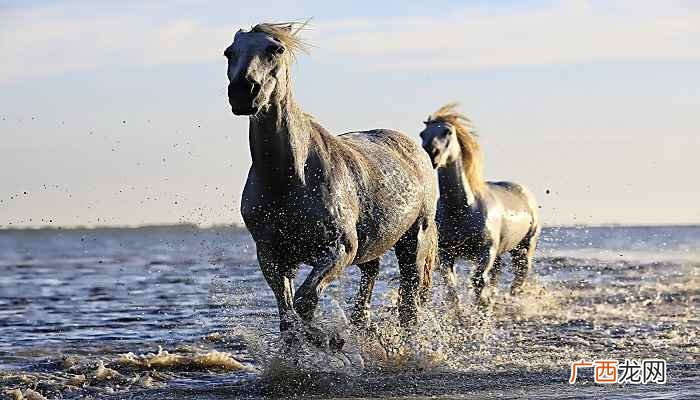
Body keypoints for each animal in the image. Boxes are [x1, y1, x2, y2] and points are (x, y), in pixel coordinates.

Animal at [224, 22, 438, 348]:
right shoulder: (272, 256)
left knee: (409, 305)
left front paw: (325, 340)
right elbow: (288, 315)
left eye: (276, 49)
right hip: (372, 248)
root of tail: (414, 149)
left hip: (414, 241)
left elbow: (305, 302)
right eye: (229, 52)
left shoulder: (338, 250)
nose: (243, 92)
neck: (288, 180)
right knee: (369, 282)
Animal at [419, 103, 540, 309]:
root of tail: (525, 193)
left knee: (519, 279)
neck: (462, 209)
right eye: (422, 134)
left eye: (447, 131)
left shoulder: (485, 252)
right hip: (501, 253)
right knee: (497, 275)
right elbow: (451, 289)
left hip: (524, 248)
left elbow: (478, 282)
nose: (431, 153)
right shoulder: (446, 254)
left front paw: (482, 308)